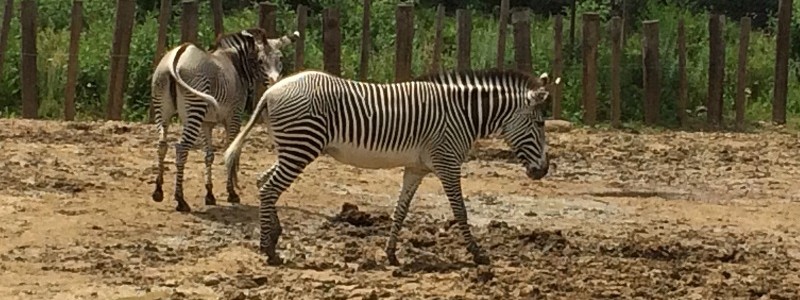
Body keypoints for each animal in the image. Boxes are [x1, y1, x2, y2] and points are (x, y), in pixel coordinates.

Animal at [150, 27, 300, 212]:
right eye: (259, 61)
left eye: (280, 58)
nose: (275, 84)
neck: (236, 63)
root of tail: (176, 57)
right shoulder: (234, 117)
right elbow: (231, 151)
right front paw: (232, 193)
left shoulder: (206, 123)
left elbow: (209, 155)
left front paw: (210, 194)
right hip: (193, 112)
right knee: (181, 148)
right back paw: (180, 199)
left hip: (162, 109)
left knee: (161, 145)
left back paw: (158, 191)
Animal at [222, 67, 560, 264]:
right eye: (540, 123)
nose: (542, 171)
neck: (463, 115)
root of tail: (270, 90)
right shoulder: (448, 162)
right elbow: (461, 210)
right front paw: (478, 255)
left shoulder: (417, 168)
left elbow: (401, 209)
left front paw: (391, 253)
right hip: (300, 146)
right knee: (269, 187)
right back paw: (269, 250)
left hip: (291, 147)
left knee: (262, 182)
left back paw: (273, 235)